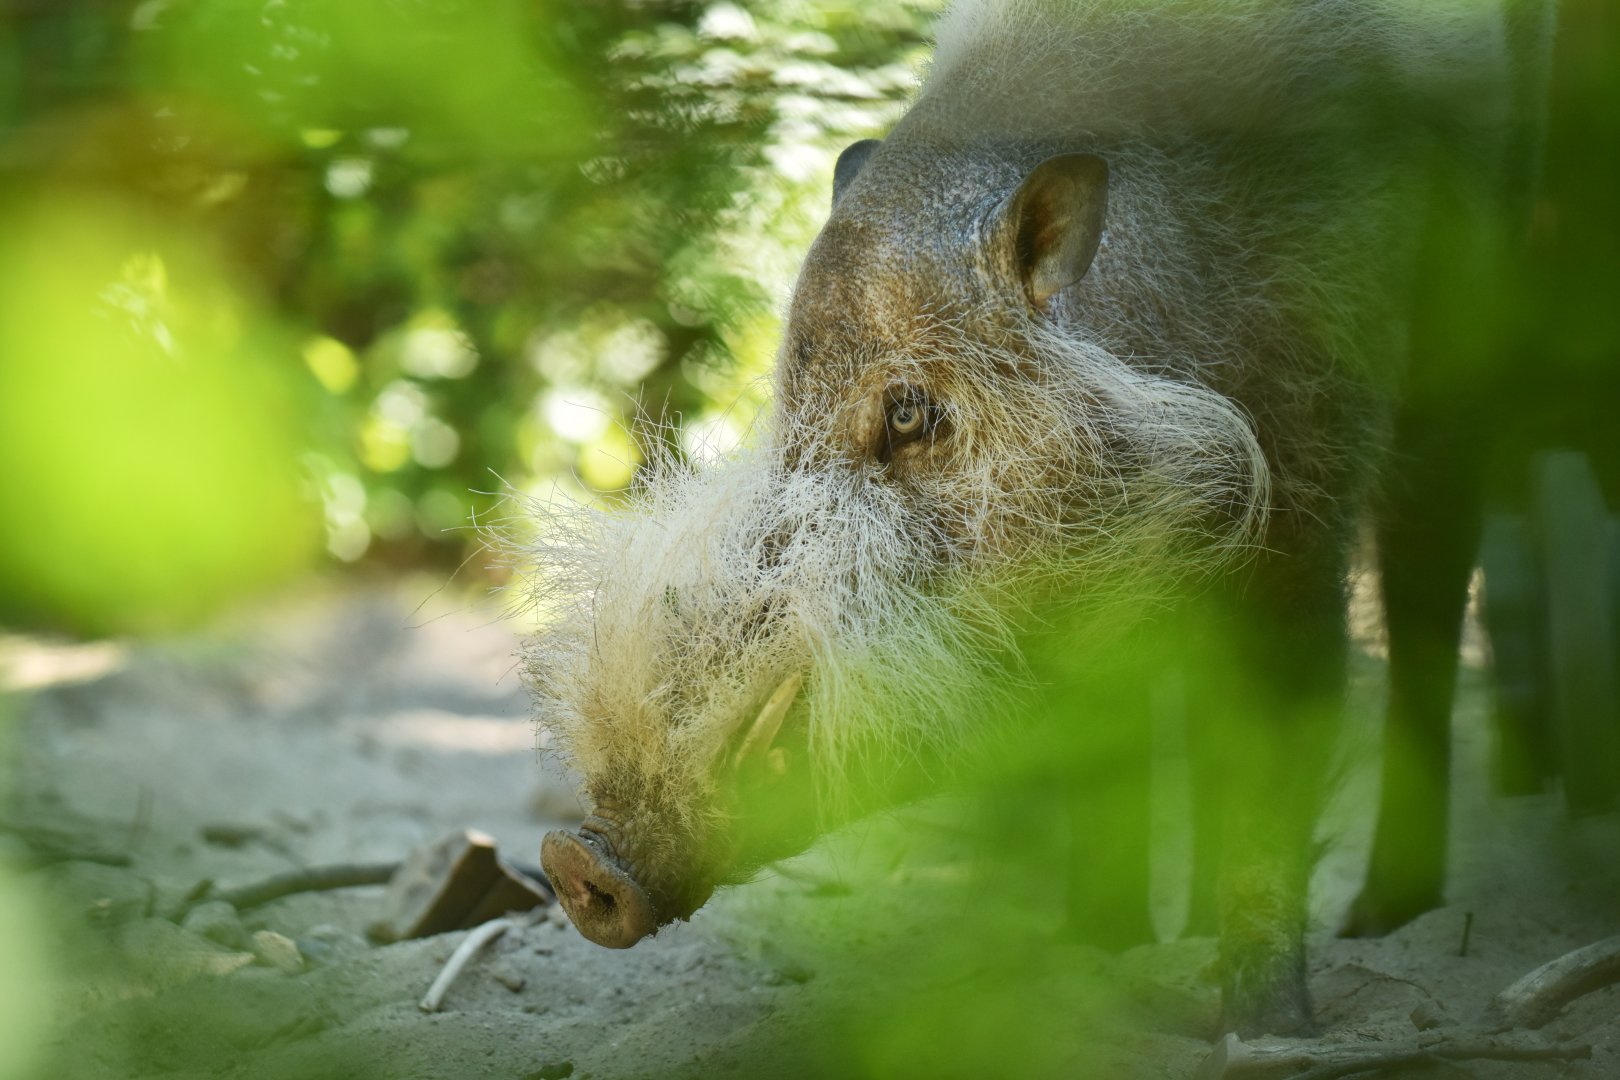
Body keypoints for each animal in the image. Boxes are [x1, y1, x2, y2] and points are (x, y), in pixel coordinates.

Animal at [523, 0, 1532, 1037]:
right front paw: (1099, 954)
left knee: (1427, 602)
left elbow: (1274, 756)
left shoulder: (1303, 501)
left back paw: (1384, 917)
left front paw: (1264, 1028)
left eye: (909, 413)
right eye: (785, 411)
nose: (576, 860)